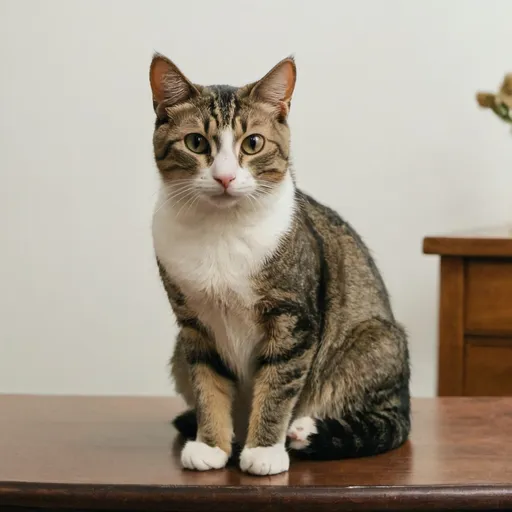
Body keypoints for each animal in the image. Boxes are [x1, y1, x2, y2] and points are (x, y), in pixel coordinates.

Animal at [150, 53, 410, 476]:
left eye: (253, 143)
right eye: (196, 142)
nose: (225, 177)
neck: (221, 229)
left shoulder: (294, 320)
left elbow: (277, 384)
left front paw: (264, 450)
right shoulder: (193, 325)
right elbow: (208, 384)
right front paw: (211, 445)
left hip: (376, 338)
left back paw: (305, 430)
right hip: (177, 351)